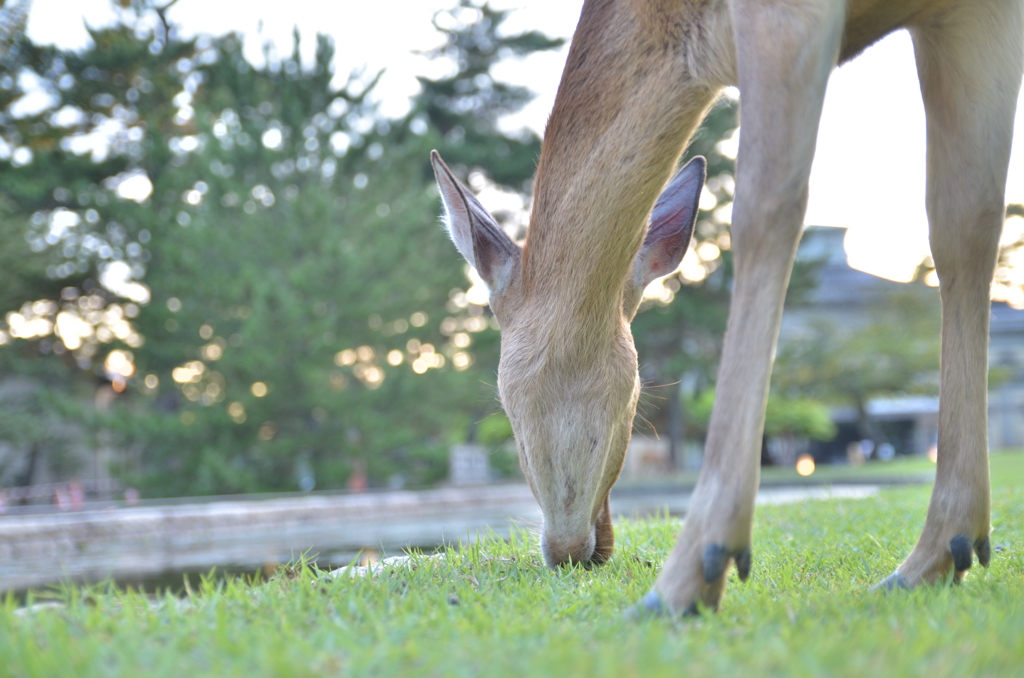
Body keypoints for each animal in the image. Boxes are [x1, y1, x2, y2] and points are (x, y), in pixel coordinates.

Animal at [428, 0, 1019, 618]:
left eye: (504, 405)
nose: (573, 549)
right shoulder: (972, 15)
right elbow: (966, 224)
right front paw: (941, 552)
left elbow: (766, 207)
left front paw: (693, 571)